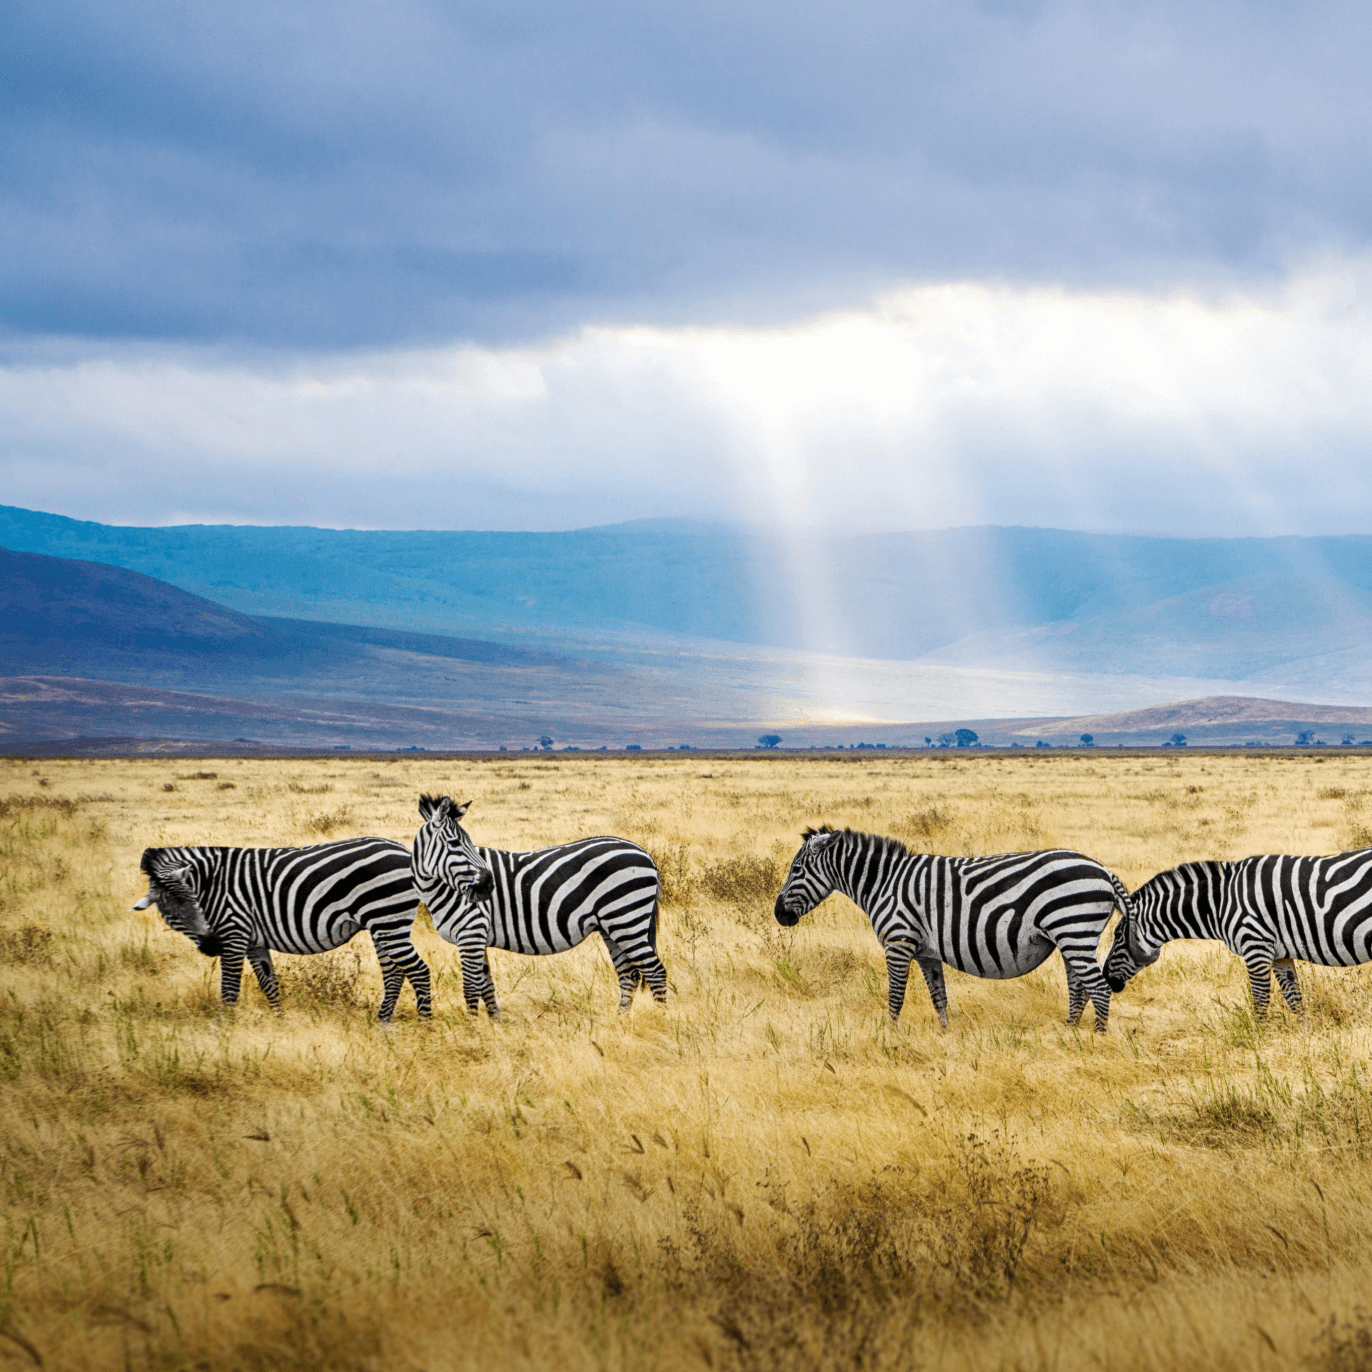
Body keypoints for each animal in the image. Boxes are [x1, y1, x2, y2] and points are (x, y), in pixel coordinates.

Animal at [129, 834, 428, 1020]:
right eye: (171, 911)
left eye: (193, 901)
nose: (212, 945)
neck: (212, 884)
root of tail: (402, 849)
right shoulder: (253, 942)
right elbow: (269, 984)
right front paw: (279, 1023)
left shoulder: (234, 933)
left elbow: (229, 990)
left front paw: (221, 1033)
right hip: (383, 925)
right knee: (394, 973)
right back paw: (383, 1022)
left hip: (388, 919)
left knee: (419, 971)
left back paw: (424, 1024)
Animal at [414, 795, 666, 1020]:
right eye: (455, 843)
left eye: (469, 843)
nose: (488, 885)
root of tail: (644, 852)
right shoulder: (477, 936)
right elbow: (486, 987)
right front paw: (495, 1026)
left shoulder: (471, 932)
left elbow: (470, 988)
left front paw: (472, 1029)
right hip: (612, 926)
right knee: (629, 974)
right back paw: (620, 1021)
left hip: (626, 919)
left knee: (655, 971)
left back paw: (662, 1019)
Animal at [773, 823, 1125, 1031]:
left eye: (796, 869)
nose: (778, 914)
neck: (885, 883)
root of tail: (1103, 870)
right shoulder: (927, 952)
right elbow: (939, 997)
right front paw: (945, 1036)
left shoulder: (898, 941)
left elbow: (895, 995)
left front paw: (890, 1036)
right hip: (1071, 937)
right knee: (1079, 988)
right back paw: (1068, 1033)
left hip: (1074, 930)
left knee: (1099, 988)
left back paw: (1096, 1041)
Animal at [1097, 845, 1372, 1020]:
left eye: (1117, 936)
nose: (1107, 978)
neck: (1220, 903)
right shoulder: (1279, 954)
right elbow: (1295, 1000)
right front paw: (1303, 1041)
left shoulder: (1256, 946)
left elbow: (1260, 1002)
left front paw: (1261, 1047)